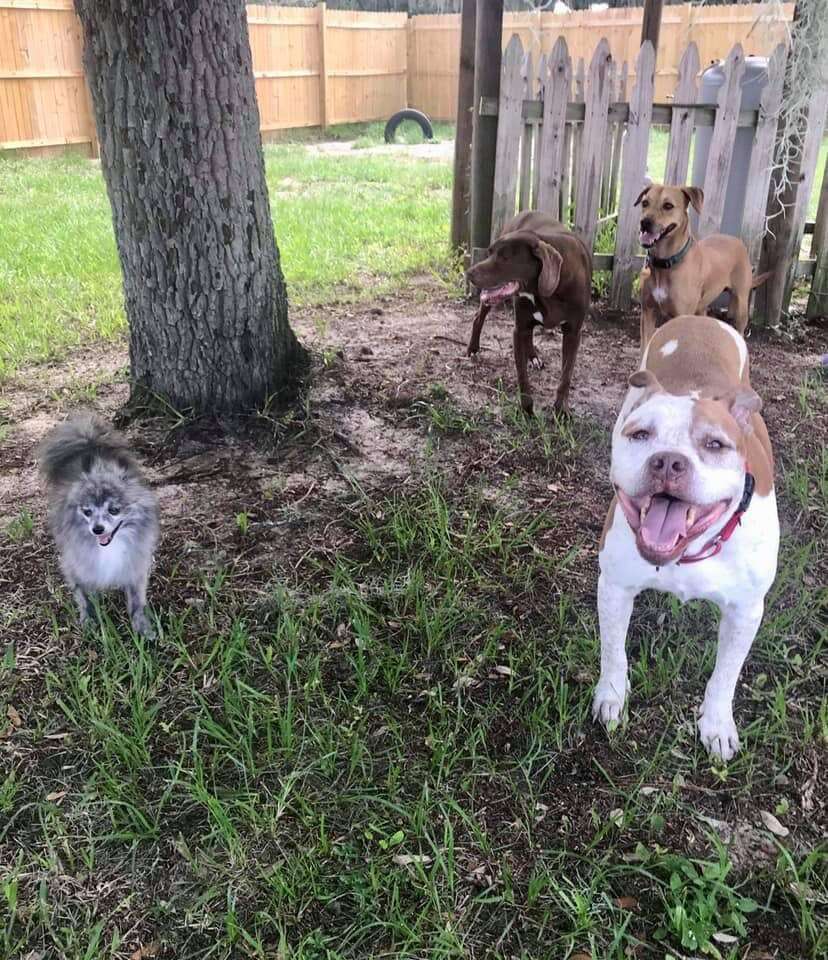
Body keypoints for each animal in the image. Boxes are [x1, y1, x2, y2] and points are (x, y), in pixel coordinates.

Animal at [596, 316, 776, 756]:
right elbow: (613, 652)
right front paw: (611, 696)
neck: (686, 551)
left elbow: (725, 675)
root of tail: (701, 318)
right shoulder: (614, 586)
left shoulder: (746, 610)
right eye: (641, 435)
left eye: (715, 444)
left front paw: (717, 724)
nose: (668, 461)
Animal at [636, 184, 768, 352]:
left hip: (741, 303)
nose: (644, 222)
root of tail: (737, 241)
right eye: (645, 203)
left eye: (668, 206)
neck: (667, 263)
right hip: (702, 307)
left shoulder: (681, 315)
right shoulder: (647, 312)